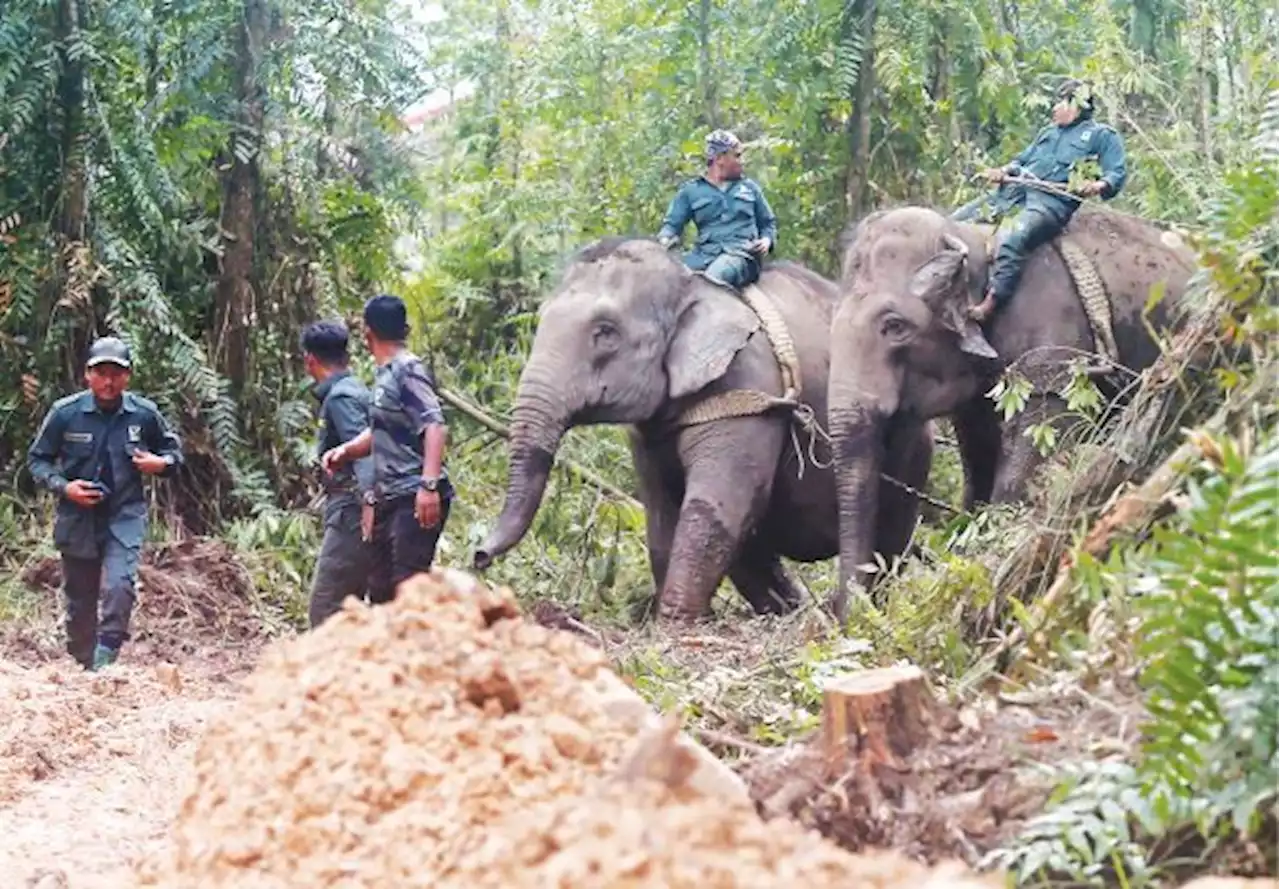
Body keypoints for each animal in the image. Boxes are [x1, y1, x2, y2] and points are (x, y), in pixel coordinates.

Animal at [471, 237, 931, 626]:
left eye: (605, 332)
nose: (478, 556)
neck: (691, 283)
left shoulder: (746, 383)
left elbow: (719, 500)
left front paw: (674, 624)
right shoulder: (652, 432)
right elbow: (663, 512)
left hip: (911, 447)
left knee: (890, 537)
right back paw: (793, 614)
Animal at [829, 203, 1198, 619]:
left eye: (894, 326)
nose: (851, 614)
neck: (974, 241)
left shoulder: (1054, 350)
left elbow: (1029, 461)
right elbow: (979, 464)